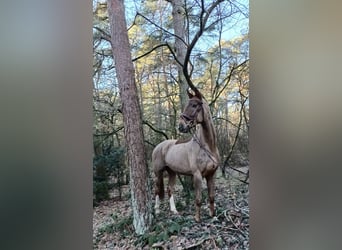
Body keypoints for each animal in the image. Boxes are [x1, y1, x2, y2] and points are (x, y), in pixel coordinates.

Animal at [152, 90, 219, 223]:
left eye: (194, 105)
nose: (181, 126)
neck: (208, 147)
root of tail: (159, 146)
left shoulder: (212, 174)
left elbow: (211, 196)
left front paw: (212, 215)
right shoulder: (197, 175)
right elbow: (198, 199)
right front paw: (197, 219)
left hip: (172, 172)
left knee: (169, 189)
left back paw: (174, 211)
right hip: (158, 172)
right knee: (157, 190)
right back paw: (156, 211)